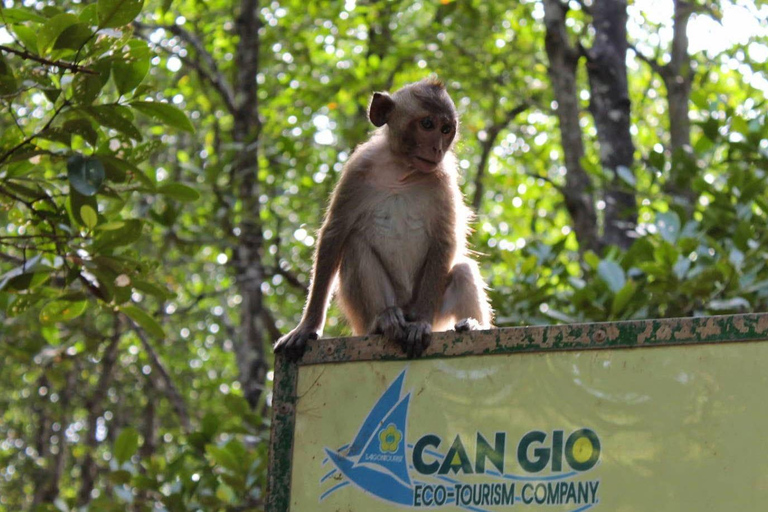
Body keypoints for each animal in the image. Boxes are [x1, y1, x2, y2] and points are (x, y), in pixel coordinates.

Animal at [274, 79, 492, 360]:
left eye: (446, 129)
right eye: (427, 124)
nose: (437, 148)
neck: (400, 169)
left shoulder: (443, 179)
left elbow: (445, 240)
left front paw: (421, 322)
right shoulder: (357, 170)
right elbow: (334, 234)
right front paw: (307, 327)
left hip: (436, 312)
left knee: (464, 269)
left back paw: (471, 325)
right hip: (366, 314)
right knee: (355, 246)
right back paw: (384, 321)